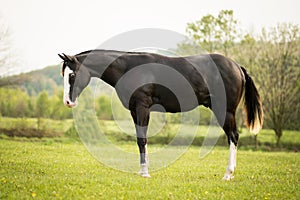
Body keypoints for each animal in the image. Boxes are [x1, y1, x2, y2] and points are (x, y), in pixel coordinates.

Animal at [58, 50, 262, 180]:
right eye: (64, 74)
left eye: (72, 75)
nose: (68, 102)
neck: (129, 68)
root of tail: (237, 66)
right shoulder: (134, 110)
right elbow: (140, 139)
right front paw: (143, 170)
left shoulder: (143, 107)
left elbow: (142, 139)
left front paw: (145, 172)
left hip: (225, 111)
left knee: (233, 136)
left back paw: (228, 174)